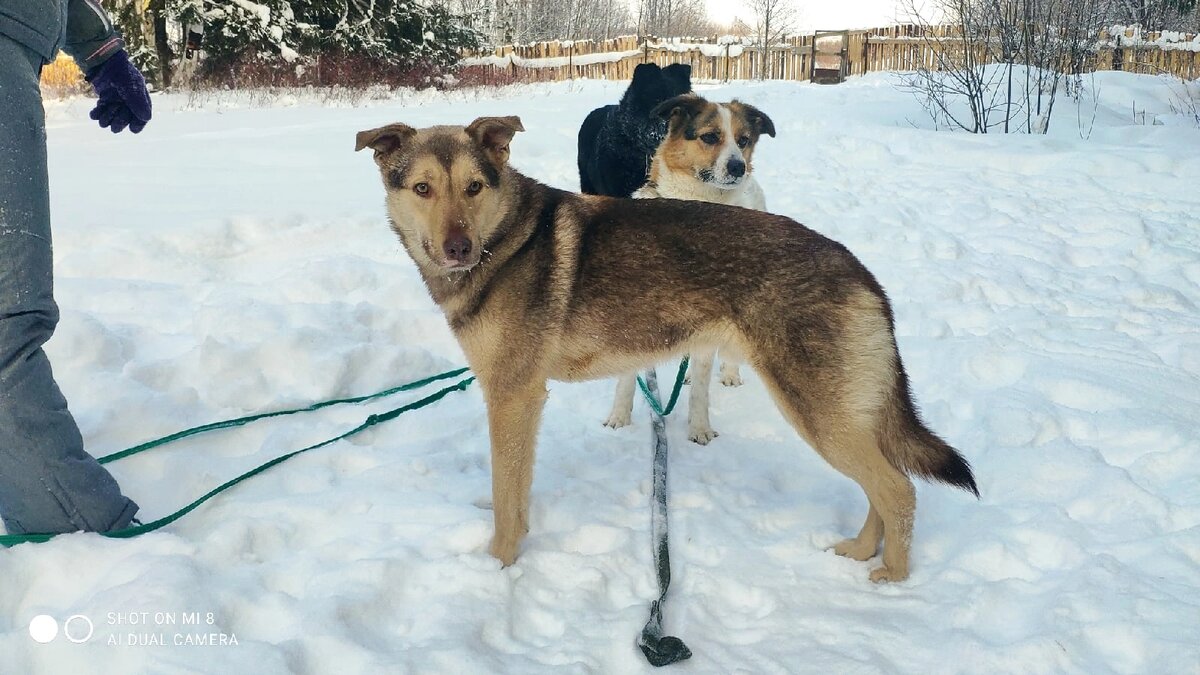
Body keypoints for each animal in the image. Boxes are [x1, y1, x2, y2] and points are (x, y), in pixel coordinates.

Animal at [600, 93, 777, 441]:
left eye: (743, 140)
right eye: (710, 136)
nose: (738, 166)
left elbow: (702, 388)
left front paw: (699, 428)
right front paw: (619, 418)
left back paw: (729, 373)